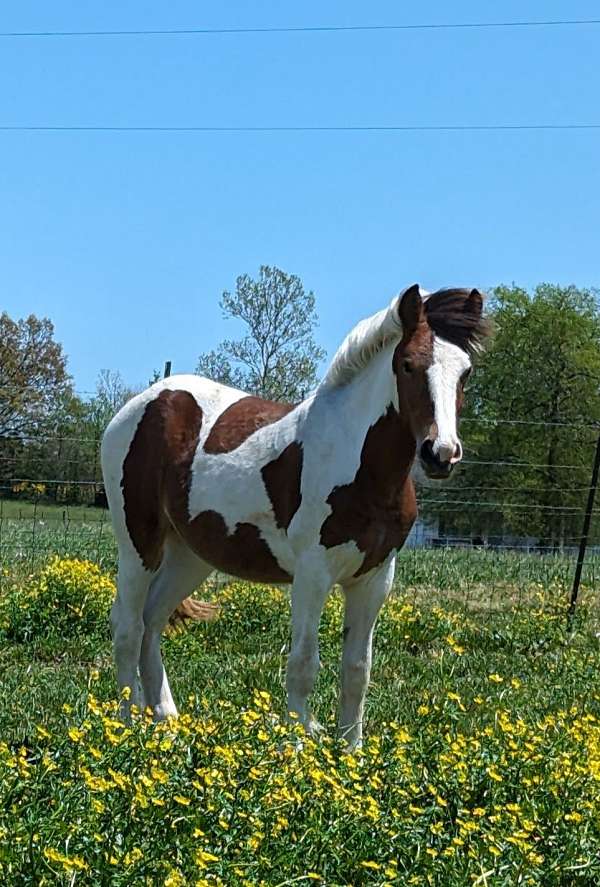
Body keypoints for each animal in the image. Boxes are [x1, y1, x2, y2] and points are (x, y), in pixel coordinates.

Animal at [102, 286, 488, 748]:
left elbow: (357, 670)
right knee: (127, 626)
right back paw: (126, 725)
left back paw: (165, 720)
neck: (359, 466)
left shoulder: (375, 579)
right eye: (408, 364)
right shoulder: (312, 575)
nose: (441, 453)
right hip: (137, 542)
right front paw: (297, 748)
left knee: (152, 622)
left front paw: (353, 752)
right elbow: (304, 663)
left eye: (465, 372)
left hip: (189, 555)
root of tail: (144, 402)